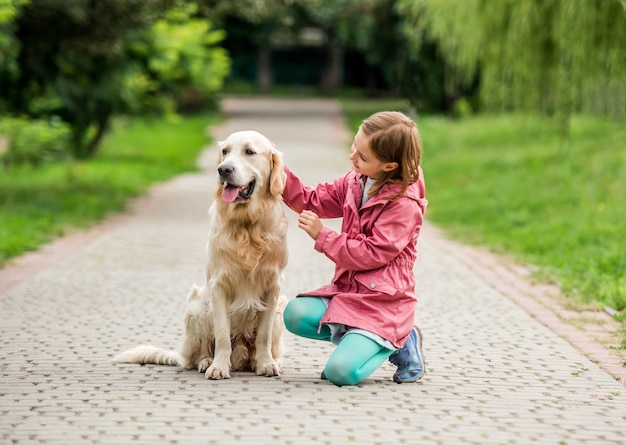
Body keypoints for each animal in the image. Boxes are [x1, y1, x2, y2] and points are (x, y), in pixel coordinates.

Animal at [112, 130, 288, 376]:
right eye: (225, 151)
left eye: (249, 151)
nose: (223, 170)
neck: (247, 226)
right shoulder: (219, 284)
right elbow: (222, 334)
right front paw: (219, 367)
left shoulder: (273, 286)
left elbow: (263, 334)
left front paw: (266, 364)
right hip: (197, 306)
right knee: (197, 355)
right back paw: (206, 362)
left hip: (281, 309)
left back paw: (256, 362)